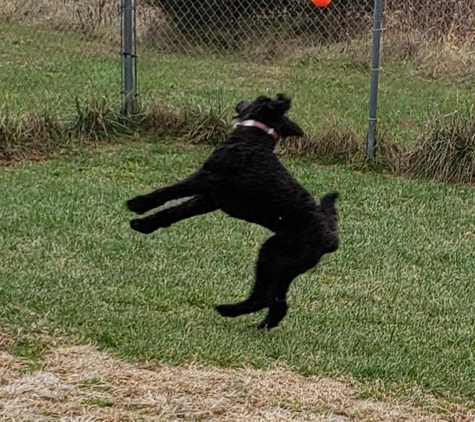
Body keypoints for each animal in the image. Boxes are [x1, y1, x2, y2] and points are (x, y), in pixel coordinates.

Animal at [127, 95, 338, 330]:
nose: (241, 100)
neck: (253, 141)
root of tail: (331, 239)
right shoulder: (209, 199)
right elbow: (175, 212)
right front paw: (143, 225)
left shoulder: (206, 178)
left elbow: (169, 191)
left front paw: (137, 204)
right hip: (285, 267)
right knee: (276, 302)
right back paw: (257, 325)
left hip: (273, 255)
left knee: (264, 297)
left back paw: (227, 310)